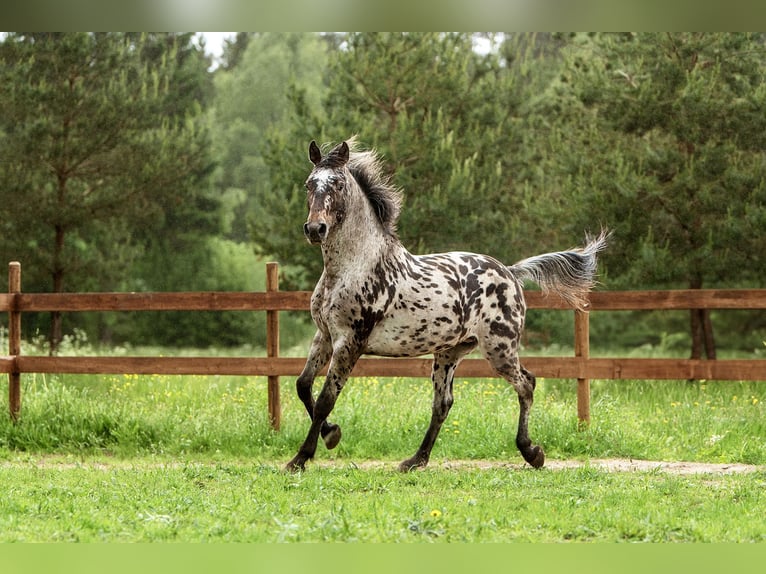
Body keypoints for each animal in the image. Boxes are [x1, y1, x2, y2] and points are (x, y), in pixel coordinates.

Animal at [285, 138, 608, 472]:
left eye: (337, 184)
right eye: (309, 184)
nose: (315, 229)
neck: (353, 267)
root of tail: (510, 272)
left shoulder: (350, 342)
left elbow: (325, 399)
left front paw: (302, 457)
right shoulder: (325, 336)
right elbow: (303, 385)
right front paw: (331, 434)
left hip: (499, 349)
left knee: (526, 384)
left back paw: (531, 452)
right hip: (449, 352)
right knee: (443, 403)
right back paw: (416, 460)